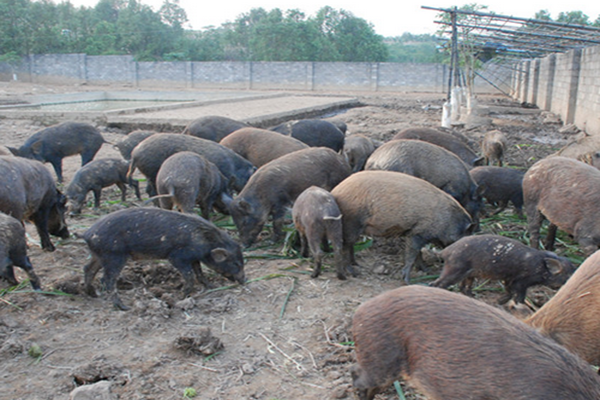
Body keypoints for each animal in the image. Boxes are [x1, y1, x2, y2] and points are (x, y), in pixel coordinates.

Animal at [328, 170, 474, 282]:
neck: (447, 220)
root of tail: (336, 190)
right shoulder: (418, 233)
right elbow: (412, 254)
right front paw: (407, 280)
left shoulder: (415, 233)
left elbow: (418, 254)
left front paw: (426, 270)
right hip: (352, 222)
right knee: (345, 245)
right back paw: (353, 272)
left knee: (349, 244)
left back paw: (356, 264)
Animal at [428, 234, 576, 304]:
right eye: (568, 276)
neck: (540, 268)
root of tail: (445, 251)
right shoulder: (521, 281)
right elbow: (519, 295)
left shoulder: (508, 279)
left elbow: (509, 291)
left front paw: (499, 302)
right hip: (454, 269)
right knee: (437, 283)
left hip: (469, 274)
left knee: (463, 287)